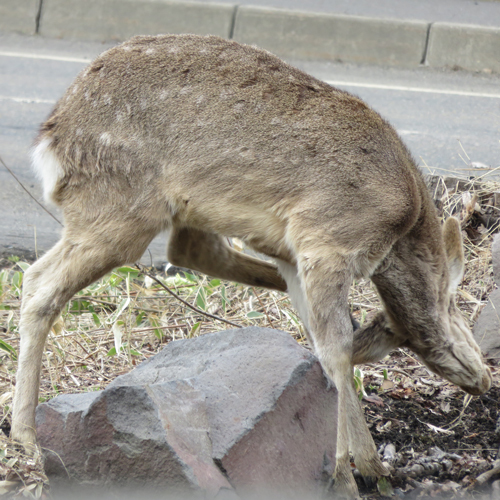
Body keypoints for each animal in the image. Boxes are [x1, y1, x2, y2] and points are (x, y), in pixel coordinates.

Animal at [11, 34, 492, 496]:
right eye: (455, 306)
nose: (484, 378)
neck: (400, 228)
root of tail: (51, 138)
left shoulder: (301, 254)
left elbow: (323, 343)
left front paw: (372, 466)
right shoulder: (327, 237)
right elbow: (336, 350)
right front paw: (345, 474)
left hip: (168, 210)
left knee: (183, 252)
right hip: (120, 204)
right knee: (40, 285)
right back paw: (25, 439)